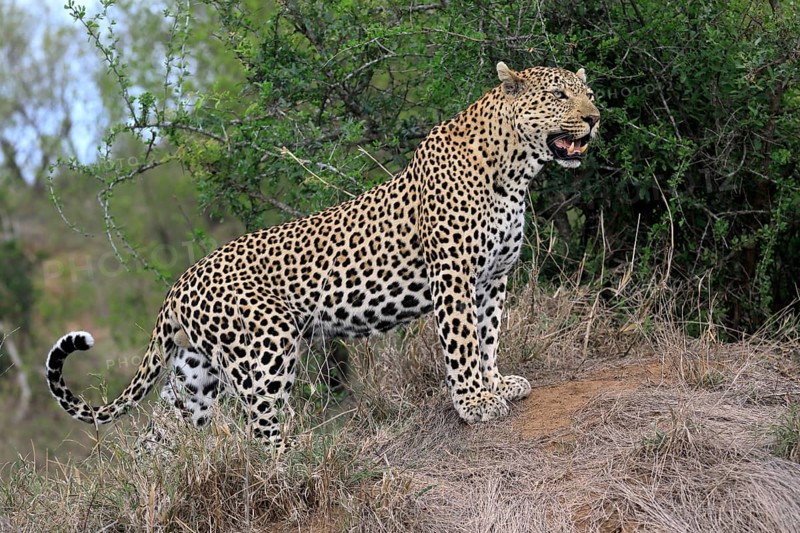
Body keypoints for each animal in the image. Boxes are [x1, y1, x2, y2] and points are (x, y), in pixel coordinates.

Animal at [46, 62, 600, 449]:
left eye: (588, 93)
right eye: (559, 96)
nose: (595, 119)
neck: (515, 170)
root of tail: (179, 284)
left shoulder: (493, 278)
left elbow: (487, 338)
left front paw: (497, 385)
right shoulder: (455, 276)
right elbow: (463, 344)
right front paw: (475, 404)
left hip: (195, 375)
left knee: (158, 439)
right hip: (266, 349)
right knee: (262, 429)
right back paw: (294, 465)